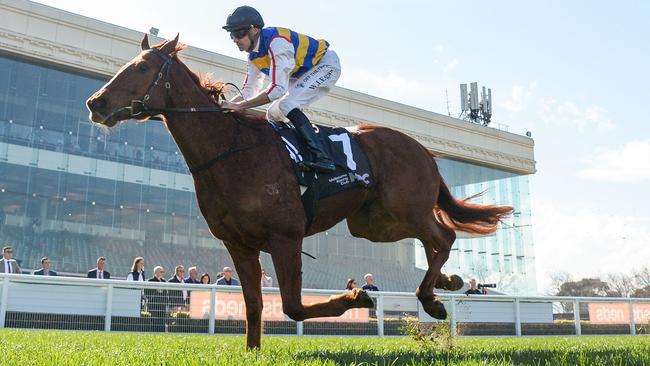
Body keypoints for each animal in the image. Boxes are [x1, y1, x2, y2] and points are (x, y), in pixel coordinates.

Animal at [85, 35, 512, 348]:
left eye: (142, 67)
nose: (95, 102)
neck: (232, 150)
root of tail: (424, 150)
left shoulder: (285, 237)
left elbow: (292, 306)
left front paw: (356, 298)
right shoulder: (239, 245)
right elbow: (254, 306)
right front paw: (252, 351)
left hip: (405, 207)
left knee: (444, 235)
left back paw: (432, 297)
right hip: (373, 224)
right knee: (434, 240)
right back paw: (448, 284)